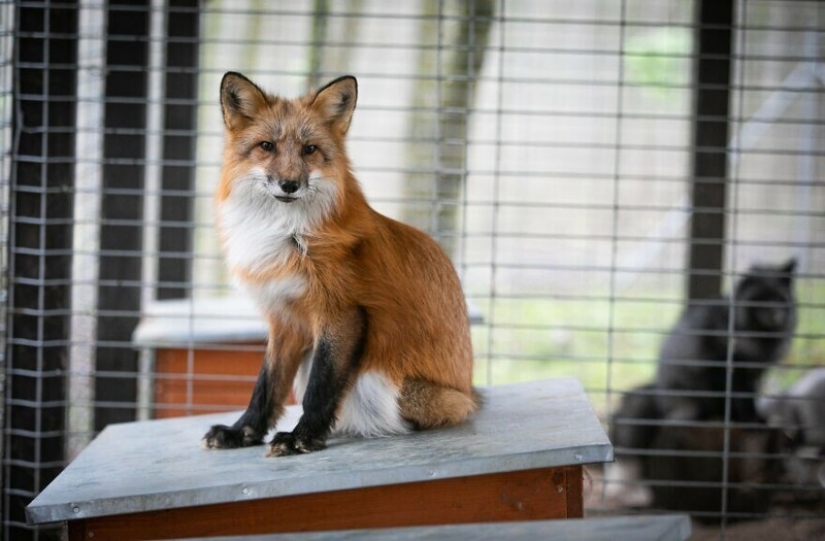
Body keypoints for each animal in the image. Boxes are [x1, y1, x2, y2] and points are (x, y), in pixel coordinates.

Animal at [202, 72, 479, 457]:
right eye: (266, 146)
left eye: (309, 149)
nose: (290, 184)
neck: (288, 237)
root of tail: (470, 391)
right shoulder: (285, 319)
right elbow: (266, 385)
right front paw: (243, 431)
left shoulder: (341, 312)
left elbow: (320, 387)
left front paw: (302, 436)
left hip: (388, 388)